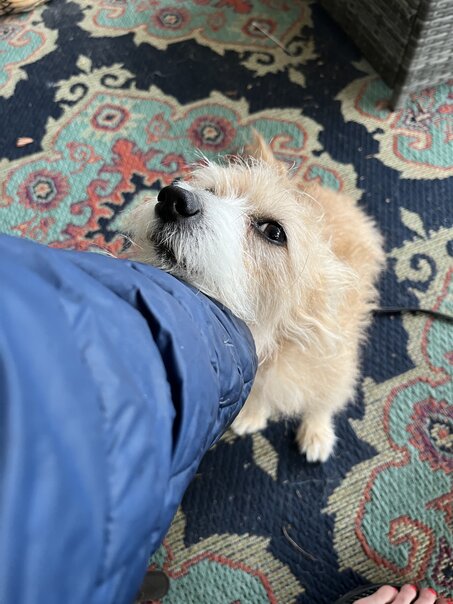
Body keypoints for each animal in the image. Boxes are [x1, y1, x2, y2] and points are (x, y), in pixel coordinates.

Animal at [122, 134, 385, 462]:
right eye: (211, 191)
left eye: (274, 231)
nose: (172, 199)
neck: (272, 341)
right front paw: (253, 414)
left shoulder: (336, 369)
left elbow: (322, 402)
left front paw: (317, 432)